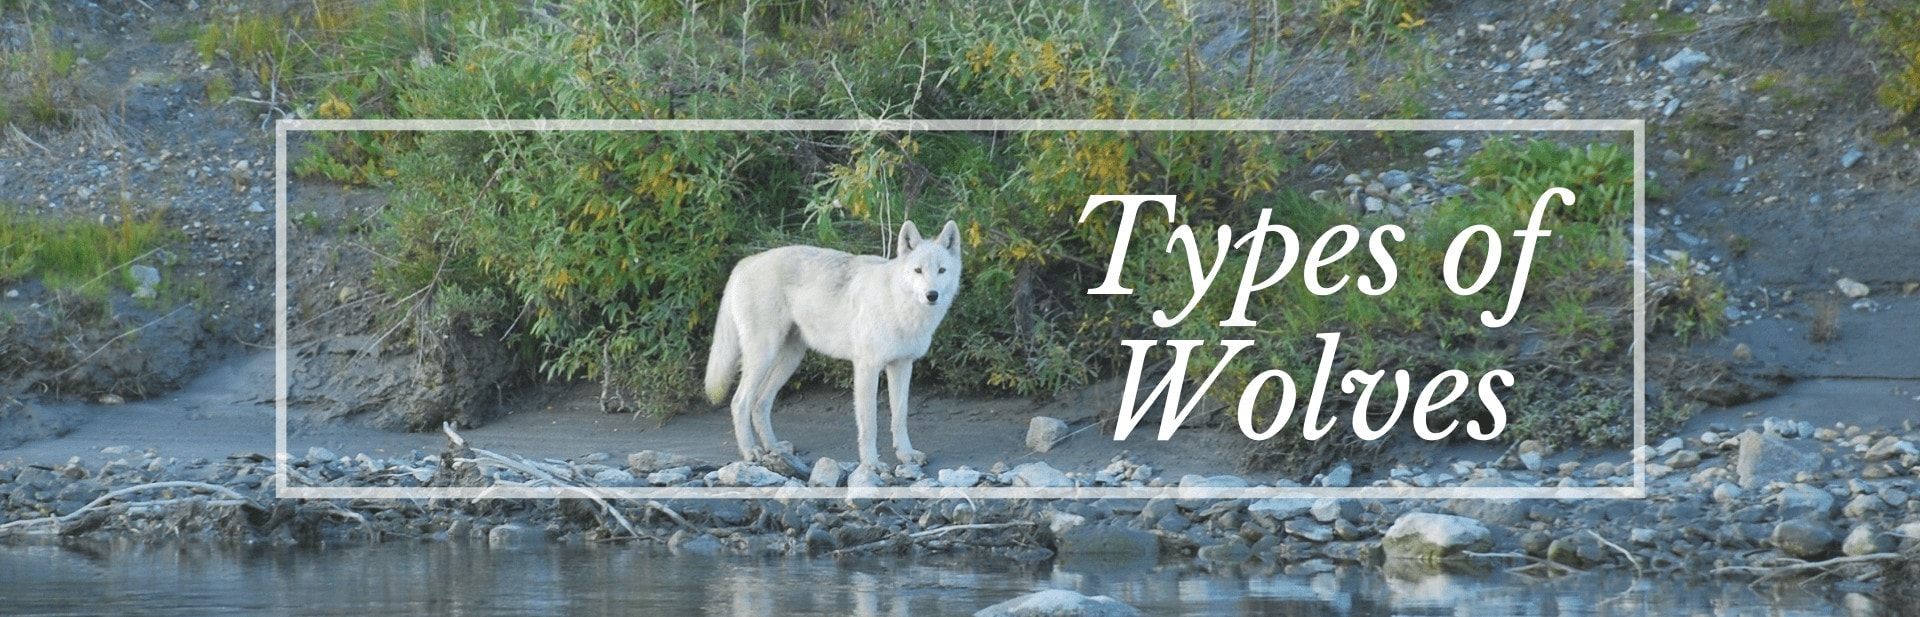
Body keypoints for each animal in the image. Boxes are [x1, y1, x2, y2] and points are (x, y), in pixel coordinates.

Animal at [704, 220, 963, 473]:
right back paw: (750, 451)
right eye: (918, 271)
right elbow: (870, 423)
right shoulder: (867, 368)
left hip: (790, 359)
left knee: (760, 403)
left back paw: (774, 448)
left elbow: (900, 417)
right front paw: (871, 463)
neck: (899, 305)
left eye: (941, 270)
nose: (932, 295)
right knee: (740, 402)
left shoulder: (902, 365)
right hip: (763, 356)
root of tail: (744, 263)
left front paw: (906, 455)